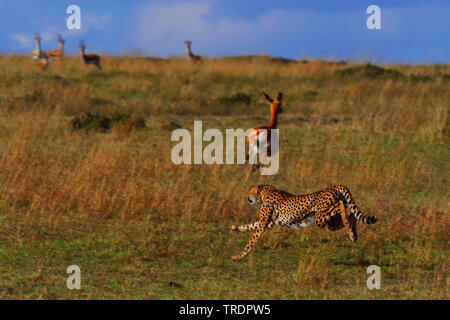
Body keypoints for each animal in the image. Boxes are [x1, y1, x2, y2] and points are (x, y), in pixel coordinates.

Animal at [230, 185, 378, 260]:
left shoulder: (263, 224)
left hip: (320, 216)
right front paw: (235, 228)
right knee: (350, 216)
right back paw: (352, 233)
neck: (264, 191)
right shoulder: (268, 223)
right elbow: (250, 226)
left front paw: (238, 256)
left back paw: (349, 226)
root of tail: (334, 187)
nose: (247, 198)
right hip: (330, 223)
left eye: (250, 192)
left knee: (340, 207)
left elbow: (250, 241)